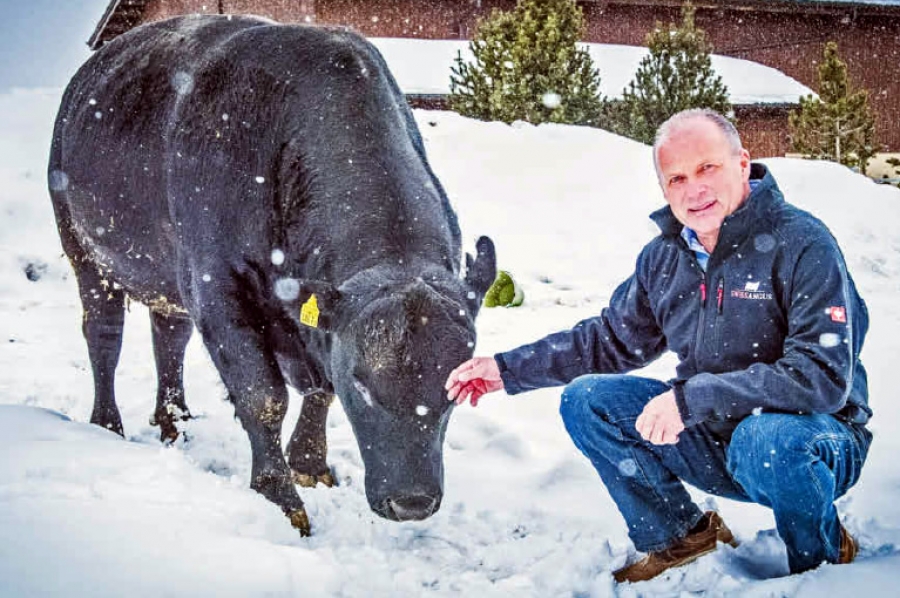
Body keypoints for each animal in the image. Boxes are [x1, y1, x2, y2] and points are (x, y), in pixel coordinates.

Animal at [45, 14, 496, 536]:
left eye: (456, 386)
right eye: (361, 383)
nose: (412, 503)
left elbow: (319, 390)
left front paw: (309, 464)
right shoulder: (216, 287)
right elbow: (263, 396)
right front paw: (281, 499)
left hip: (166, 278)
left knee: (170, 337)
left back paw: (175, 421)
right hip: (82, 247)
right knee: (104, 335)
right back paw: (107, 424)